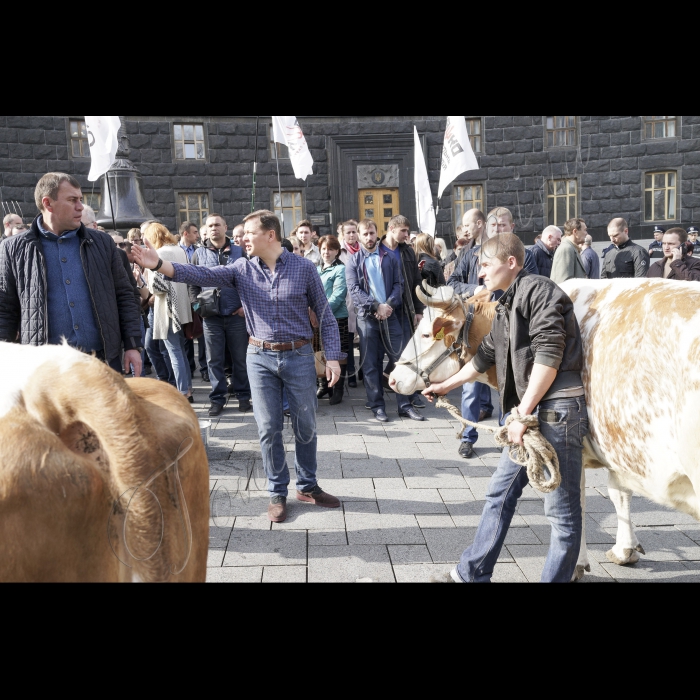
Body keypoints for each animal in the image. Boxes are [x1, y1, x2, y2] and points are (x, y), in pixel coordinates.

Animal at [392, 278, 700, 580]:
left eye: (425, 335)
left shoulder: (577, 449)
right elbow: (619, 491)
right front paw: (625, 549)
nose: (393, 378)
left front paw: (577, 564)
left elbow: (579, 503)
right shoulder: (618, 446)